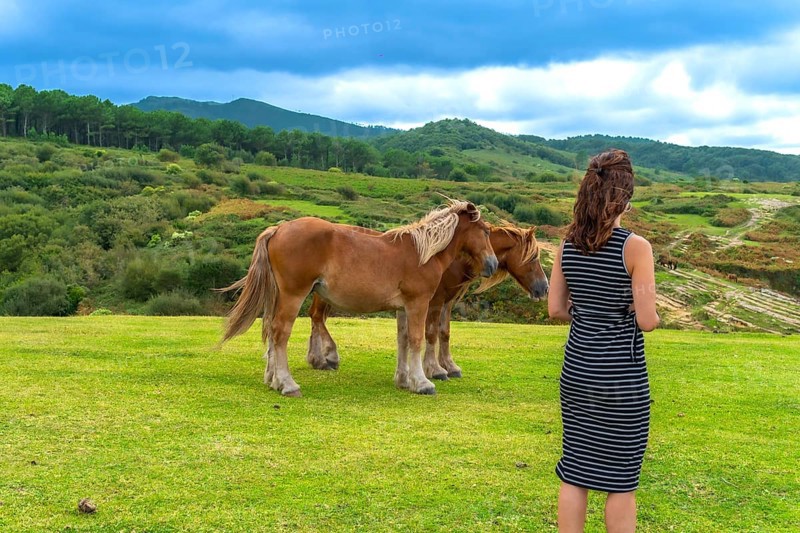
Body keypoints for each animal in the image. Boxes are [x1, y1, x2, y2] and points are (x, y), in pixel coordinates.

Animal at [219, 200, 498, 397]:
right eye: (485, 232)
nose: (493, 264)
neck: (422, 252)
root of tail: (278, 228)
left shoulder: (403, 308)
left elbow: (403, 341)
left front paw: (403, 379)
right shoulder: (418, 304)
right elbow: (417, 340)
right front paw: (422, 382)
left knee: (270, 330)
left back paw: (273, 379)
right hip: (293, 295)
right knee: (280, 333)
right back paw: (287, 384)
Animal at [307, 224, 549, 380]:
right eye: (533, 257)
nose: (544, 288)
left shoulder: (447, 303)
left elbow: (444, 333)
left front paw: (449, 366)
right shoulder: (433, 302)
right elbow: (430, 334)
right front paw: (434, 369)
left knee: (316, 318)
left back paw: (316, 358)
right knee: (317, 317)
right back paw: (323, 358)